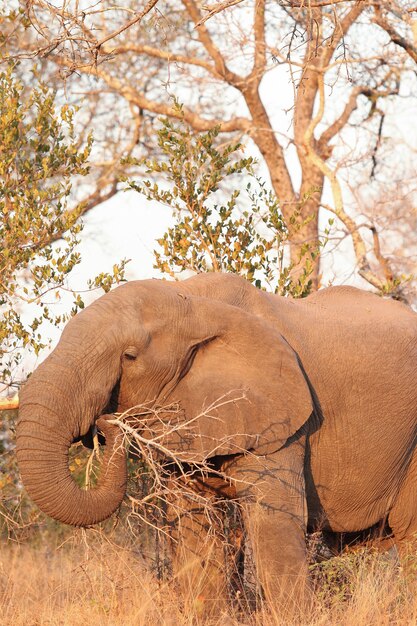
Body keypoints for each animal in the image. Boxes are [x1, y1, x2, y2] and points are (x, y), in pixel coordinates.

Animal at [15, 272, 416, 608]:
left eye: (128, 356)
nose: (105, 422)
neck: (191, 300)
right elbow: (193, 527)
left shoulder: (280, 418)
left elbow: (274, 524)